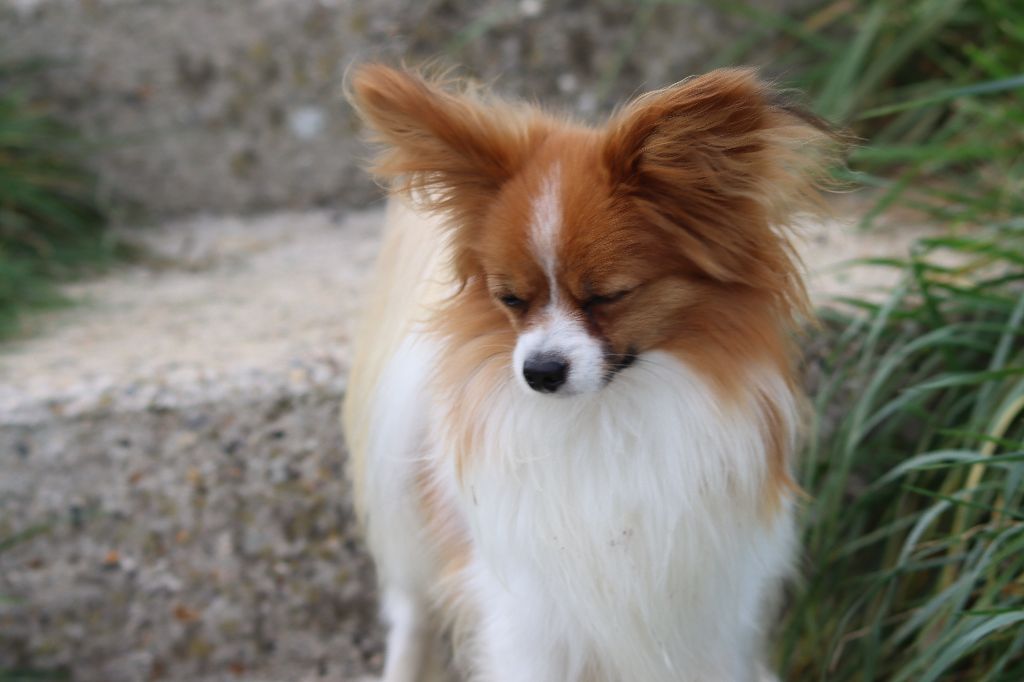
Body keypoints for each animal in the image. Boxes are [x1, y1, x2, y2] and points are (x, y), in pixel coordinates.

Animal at [344, 63, 839, 679]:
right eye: (510, 299)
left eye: (608, 296)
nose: (539, 371)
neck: (607, 415)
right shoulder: (529, 618)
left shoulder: (714, 615)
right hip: (408, 515)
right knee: (411, 611)